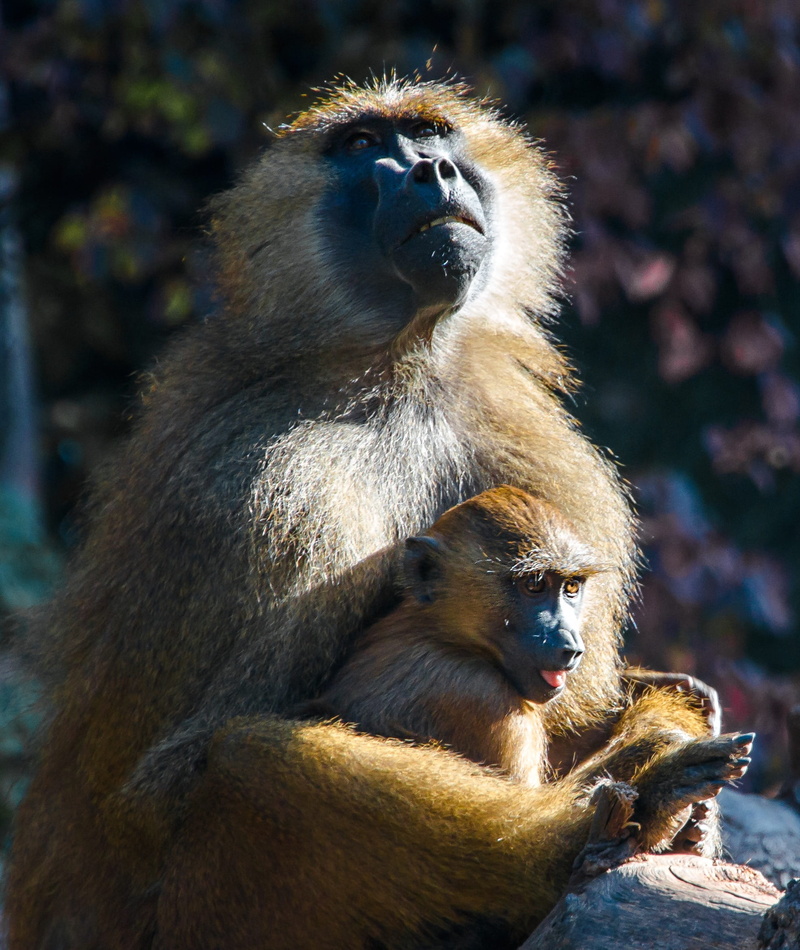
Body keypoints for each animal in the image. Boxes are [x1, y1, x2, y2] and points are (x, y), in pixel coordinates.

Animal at [6, 77, 746, 950]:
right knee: (253, 762)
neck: (396, 371)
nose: (432, 170)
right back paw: (600, 829)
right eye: (363, 146)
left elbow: (579, 705)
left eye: (432, 134)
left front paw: (664, 711)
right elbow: (168, 784)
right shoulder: (272, 495)